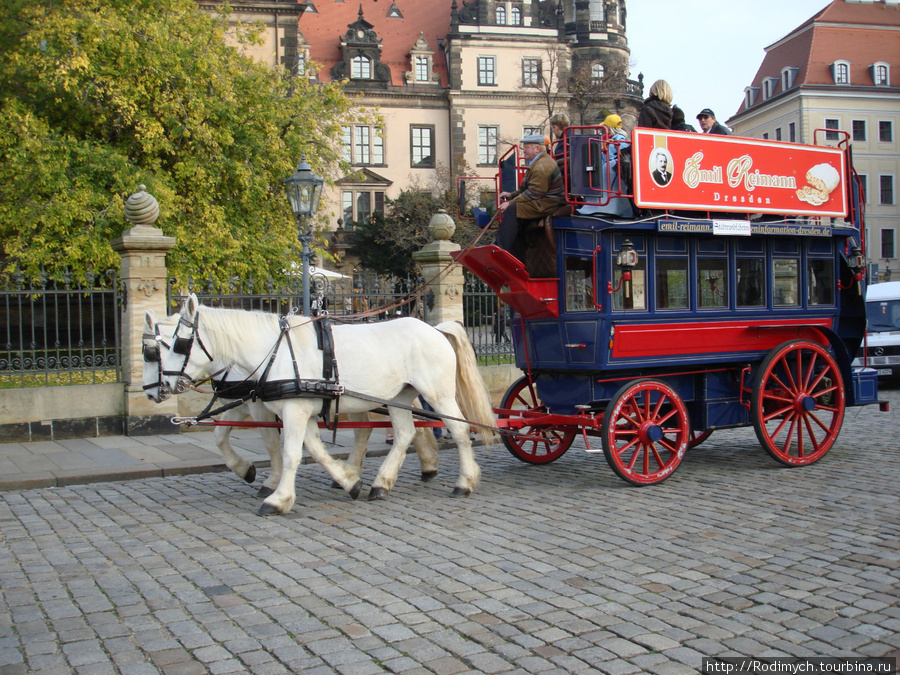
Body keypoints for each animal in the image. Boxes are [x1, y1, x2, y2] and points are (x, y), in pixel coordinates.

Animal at [142, 314, 442, 500]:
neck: (267, 353)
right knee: (397, 430)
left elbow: (275, 445)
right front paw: (247, 470)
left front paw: (271, 485)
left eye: (168, 348)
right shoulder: (250, 403)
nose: (153, 391)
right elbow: (221, 435)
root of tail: (430, 328)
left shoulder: (264, 407)